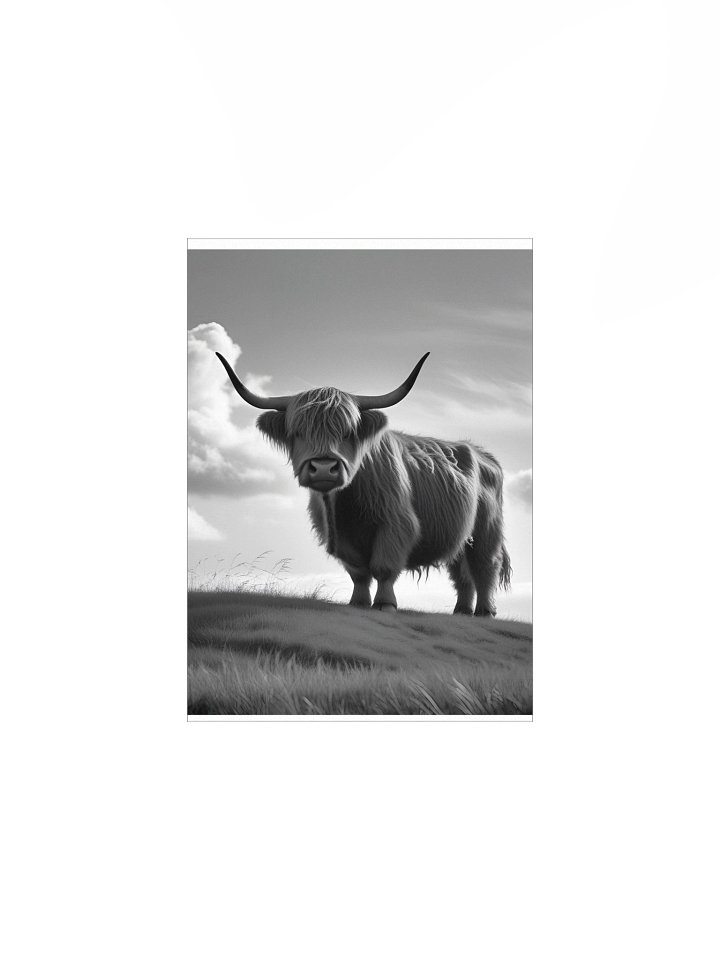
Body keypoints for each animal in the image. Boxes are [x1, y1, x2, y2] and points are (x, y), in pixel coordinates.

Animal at [216, 352, 511, 615]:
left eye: (348, 432)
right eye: (297, 432)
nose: (324, 468)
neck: (345, 504)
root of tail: (482, 453)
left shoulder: (396, 524)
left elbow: (383, 567)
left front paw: (385, 604)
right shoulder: (339, 535)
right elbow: (358, 572)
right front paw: (358, 602)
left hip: (487, 531)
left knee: (485, 566)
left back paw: (485, 611)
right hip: (461, 535)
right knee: (462, 573)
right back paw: (461, 611)